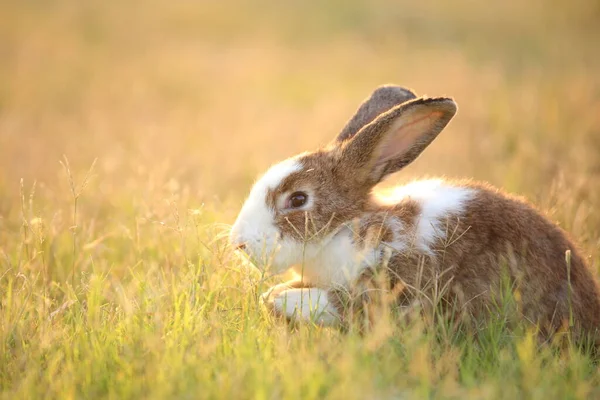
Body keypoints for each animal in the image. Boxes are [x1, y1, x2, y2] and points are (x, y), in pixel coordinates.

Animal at [229, 86, 600, 342]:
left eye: (298, 199)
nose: (239, 244)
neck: (348, 229)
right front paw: (275, 295)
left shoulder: (399, 283)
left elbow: (346, 306)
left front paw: (280, 299)